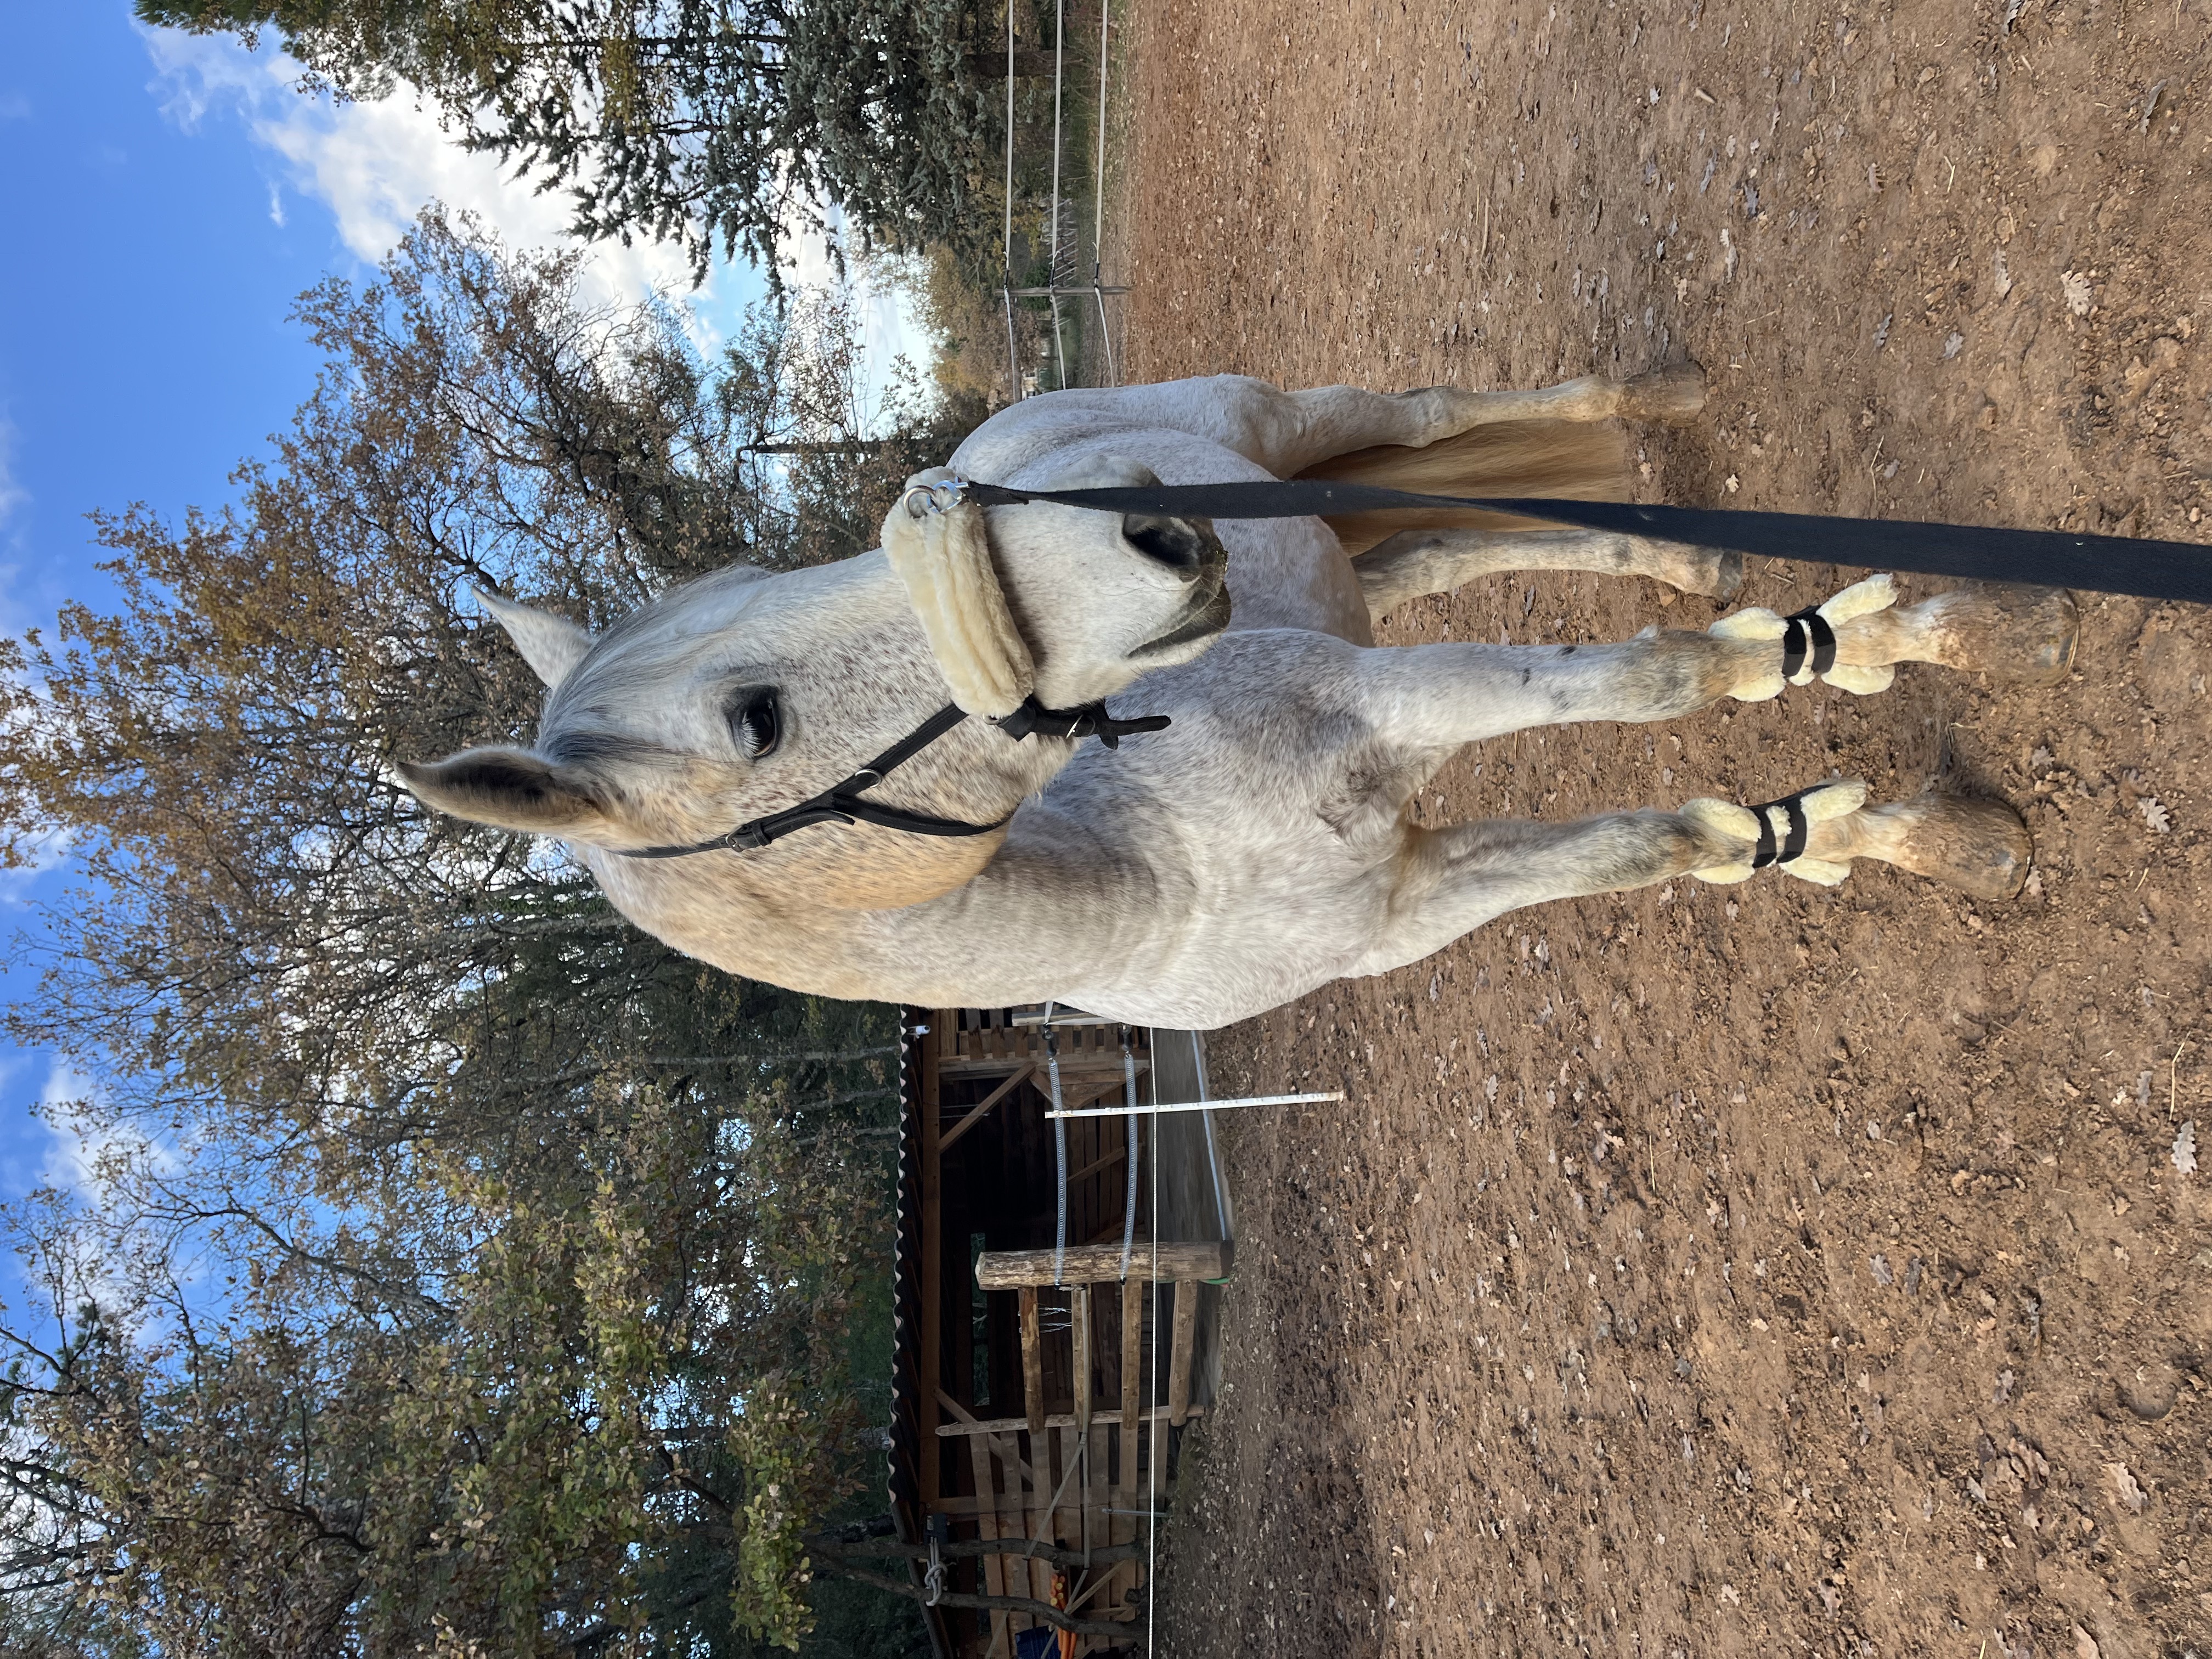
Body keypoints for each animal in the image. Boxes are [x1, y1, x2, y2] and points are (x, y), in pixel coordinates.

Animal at [397, 366, 2076, 1030]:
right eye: (757, 720)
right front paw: (1902, 832)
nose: (1148, 536)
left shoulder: (1393, 700)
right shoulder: (1412, 898)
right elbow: (1672, 833)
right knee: (1490, 539)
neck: (1161, 872)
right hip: (1351, 545)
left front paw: (1939, 638)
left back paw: (1651, 405)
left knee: (1456, 417)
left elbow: (1665, 683)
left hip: (1297, 427)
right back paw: (1678, 543)